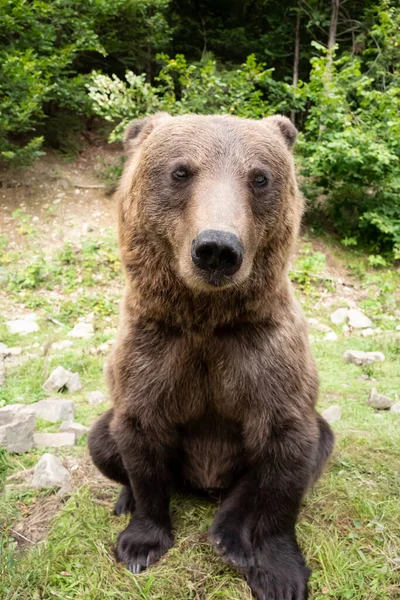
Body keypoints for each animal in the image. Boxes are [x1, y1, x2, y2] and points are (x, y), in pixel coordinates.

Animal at [88, 112, 334, 600]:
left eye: (259, 177)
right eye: (181, 171)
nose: (217, 248)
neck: (206, 317)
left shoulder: (264, 350)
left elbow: (286, 454)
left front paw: (280, 572)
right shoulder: (155, 348)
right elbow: (139, 435)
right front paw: (140, 541)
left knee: (309, 448)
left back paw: (230, 533)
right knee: (102, 440)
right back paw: (126, 499)